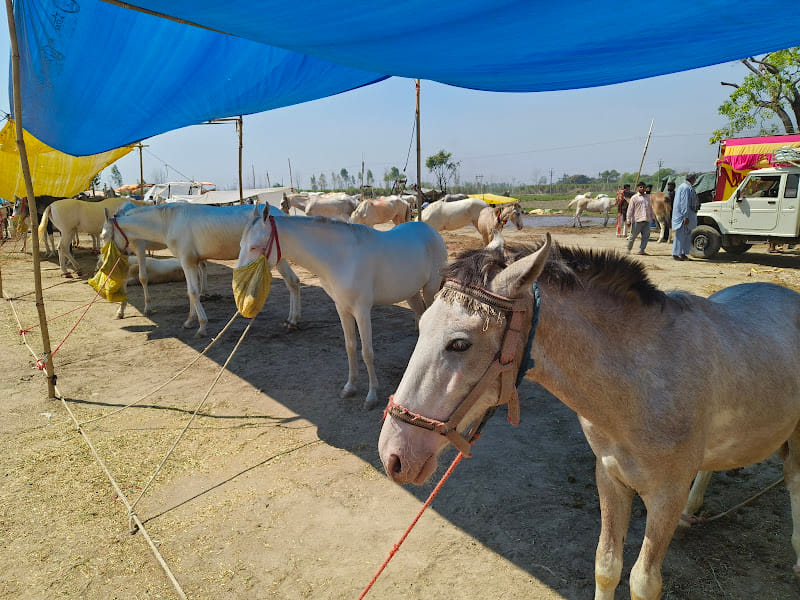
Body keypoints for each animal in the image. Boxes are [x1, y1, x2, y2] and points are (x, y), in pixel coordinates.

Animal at [100, 203, 301, 336]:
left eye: (103, 236)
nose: (102, 264)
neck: (169, 221)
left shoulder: (187, 261)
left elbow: (193, 292)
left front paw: (202, 326)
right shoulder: (189, 262)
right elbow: (191, 292)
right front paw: (190, 321)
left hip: (279, 259)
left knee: (293, 282)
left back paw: (292, 320)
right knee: (293, 283)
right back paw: (291, 321)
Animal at [237, 204, 448, 409]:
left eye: (254, 247)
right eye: (241, 245)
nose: (241, 283)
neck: (342, 258)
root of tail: (430, 230)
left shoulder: (362, 311)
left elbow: (367, 352)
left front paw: (371, 396)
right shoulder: (342, 308)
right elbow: (350, 347)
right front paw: (350, 387)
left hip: (430, 290)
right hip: (411, 293)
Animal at [378, 235, 800, 600]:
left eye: (459, 343)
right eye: (420, 326)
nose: (392, 455)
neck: (640, 380)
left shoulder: (667, 495)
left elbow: (643, 582)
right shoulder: (610, 477)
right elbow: (606, 567)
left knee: (793, 480)